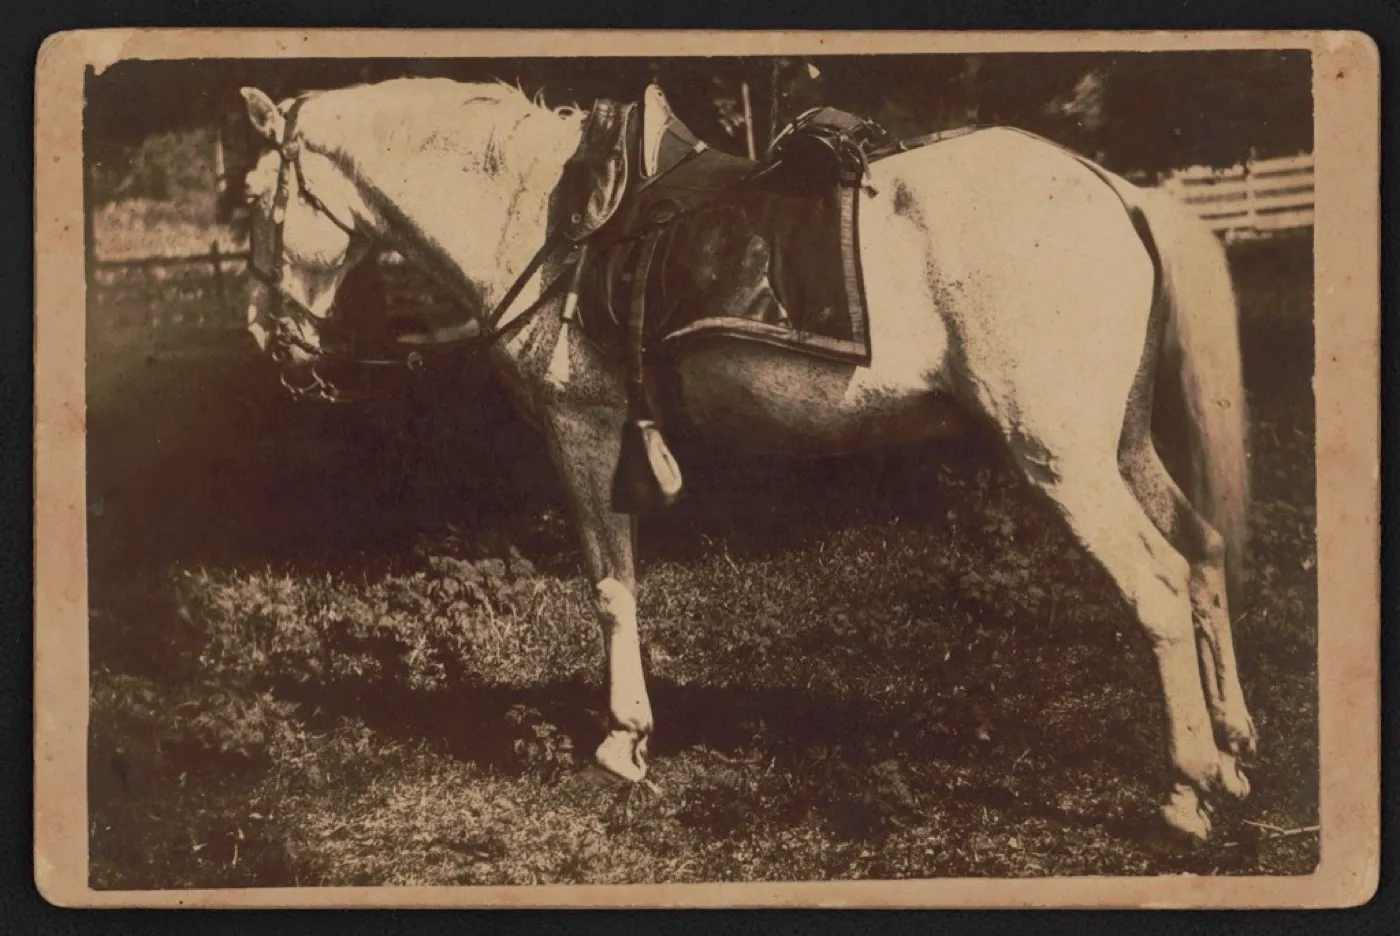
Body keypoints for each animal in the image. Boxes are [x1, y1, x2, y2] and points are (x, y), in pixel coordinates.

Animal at [236, 76, 1255, 844]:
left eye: (253, 200)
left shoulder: (582, 429)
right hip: (1121, 444)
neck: (546, 222)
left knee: (1160, 586)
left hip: (1062, 460)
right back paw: (1235, 751)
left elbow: (611, 587)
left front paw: (624, 742)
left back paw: (1186, 790)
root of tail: (1113, 188)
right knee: (1203, 551)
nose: (267, 338)